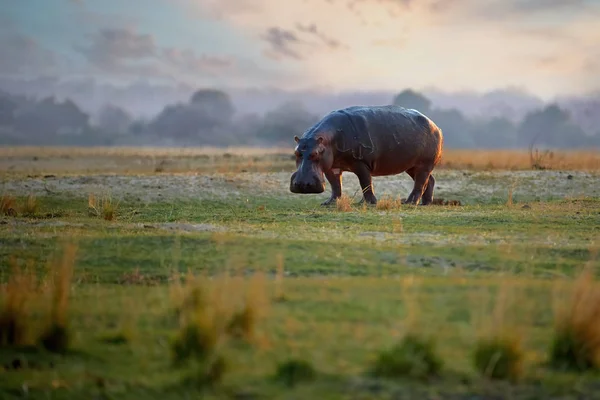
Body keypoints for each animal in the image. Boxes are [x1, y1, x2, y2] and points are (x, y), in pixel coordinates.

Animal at [288, 105, 442, 206]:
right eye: (296, 152)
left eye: (315, 154)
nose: (302, 184)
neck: (327, 140)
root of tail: (435, 126)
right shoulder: (331, 166)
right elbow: (335, 185)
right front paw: (329, 203)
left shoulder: (361, 163)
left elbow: (365, 182)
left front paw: (369, 203)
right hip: (411, 165)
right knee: (429, 180)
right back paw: (425, 203)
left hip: (424, 164)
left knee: (420, 182)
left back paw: (410, 203)